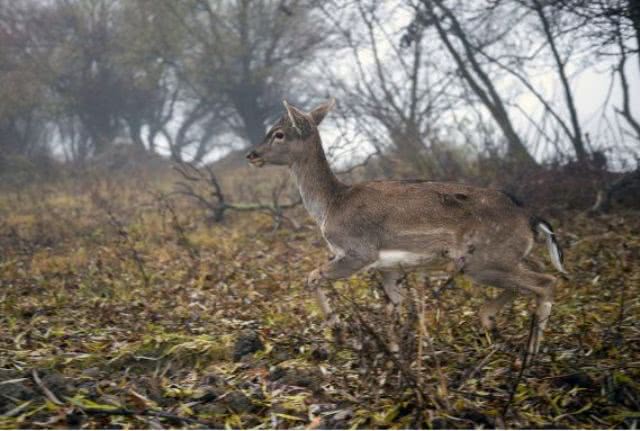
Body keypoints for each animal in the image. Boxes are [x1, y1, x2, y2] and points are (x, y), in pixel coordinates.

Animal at [245, 99, 564, 356]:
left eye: (279, 133)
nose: (252, 155)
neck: (331, 205)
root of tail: (530, 217)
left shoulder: (358, 251)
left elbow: (312, 277)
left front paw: (337, 330)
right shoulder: (388, 267)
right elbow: (393, 307)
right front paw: (396, 355)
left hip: (484, 259)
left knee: (546, 282)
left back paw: (531, 352)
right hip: (501, 257)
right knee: (531, 276)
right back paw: (489, 322)